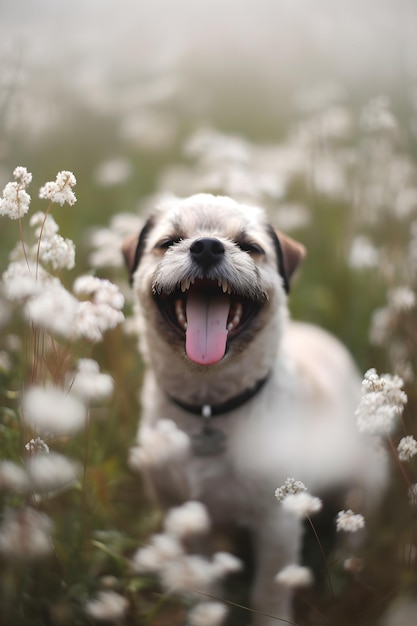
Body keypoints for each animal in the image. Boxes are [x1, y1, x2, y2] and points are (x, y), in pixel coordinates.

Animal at [122, 193, 386, 620]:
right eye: (169, 242)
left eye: (250, 247)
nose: (207, 246)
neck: (209, 404)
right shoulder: (182, 515)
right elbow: (201, 583)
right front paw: (203, 613)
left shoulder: (276, 523)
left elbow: (269, 591)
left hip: (367, 482)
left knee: (357, 525)